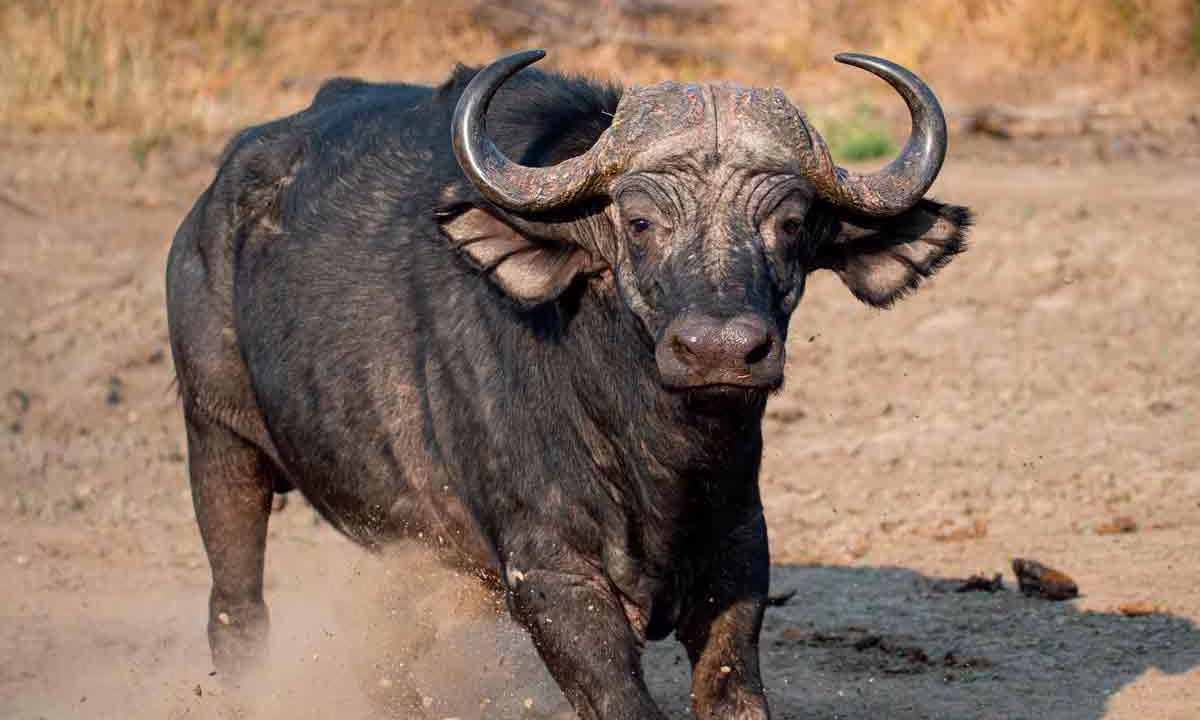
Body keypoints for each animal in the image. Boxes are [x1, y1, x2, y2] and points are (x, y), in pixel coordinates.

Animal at [166, 49, 971, 719]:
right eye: (638, 221)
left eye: (793, 222)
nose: (718, 350)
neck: (653, 453)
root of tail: (214, 205)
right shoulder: (553, 580)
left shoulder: (739, 551)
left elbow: (731, 690)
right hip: (218, 438)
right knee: (235, 612)